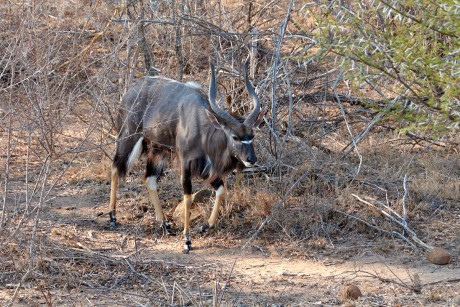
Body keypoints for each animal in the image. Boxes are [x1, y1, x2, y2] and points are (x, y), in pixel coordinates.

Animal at [109, 59, 264, 254]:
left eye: (252, 135)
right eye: (235, 137)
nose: (251, 159)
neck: (202, 126)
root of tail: (130, 92)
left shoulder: (206, 169)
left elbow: (221, 190)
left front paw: (205, 226)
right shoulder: (186, 163)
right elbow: (188, 199)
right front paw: (187, 241)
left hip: (158, 150)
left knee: (149, 179)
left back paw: (165, 224)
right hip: (128, 137)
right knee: (115, 167)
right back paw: (113, 217)